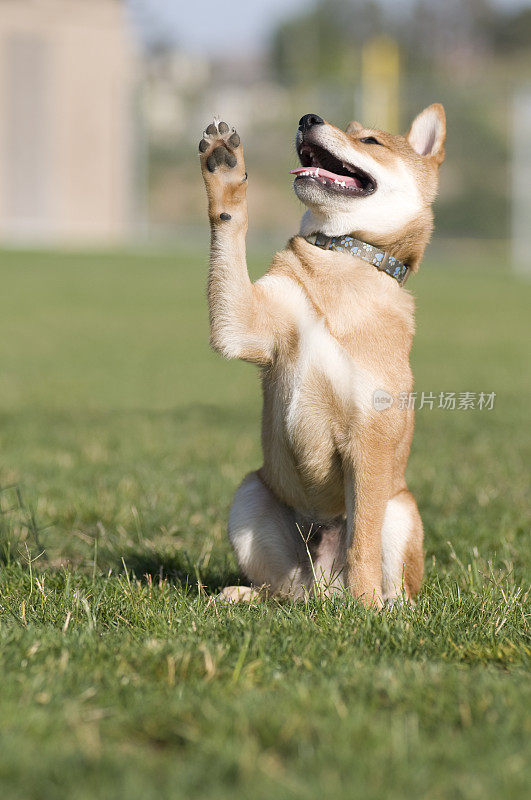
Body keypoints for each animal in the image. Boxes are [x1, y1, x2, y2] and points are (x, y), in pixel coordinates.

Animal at [197, 104, 446, 608]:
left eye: (370, 140)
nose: (308, 118)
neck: (342, 259)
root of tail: (323, 589)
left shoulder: (369, 442)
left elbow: (362, 541)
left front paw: (365, 606)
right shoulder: (243, 326)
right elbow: (231, 224)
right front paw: (225, 171)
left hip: (401, 508)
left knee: (392, 581)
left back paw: (381, 607)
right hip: (250, 496)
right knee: (280, 590)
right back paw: (242, 594)